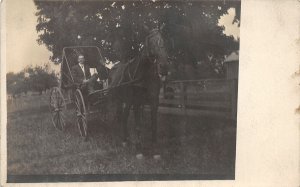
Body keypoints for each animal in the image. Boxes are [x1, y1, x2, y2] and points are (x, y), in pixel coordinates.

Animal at [108, 25, 169, 159]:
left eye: (163, 41)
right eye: (150, 41)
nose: (164, 67)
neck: (144, 74)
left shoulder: (154, 101)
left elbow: (153, 125)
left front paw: (155, 150)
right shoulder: (136, 102)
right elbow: (137, 126)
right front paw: (139, 150)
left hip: (127, 101)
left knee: (124, 116)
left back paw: (126, 139)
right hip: (121, 100)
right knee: (122, 116)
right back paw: (124, 140)